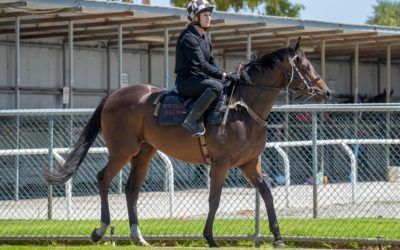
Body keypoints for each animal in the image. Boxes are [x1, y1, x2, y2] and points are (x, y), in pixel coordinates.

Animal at [43, 38, 332, 247]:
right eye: (306, 67)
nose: (326, 92)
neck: (243, 107)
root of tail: (114, 96)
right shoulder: (221, 164)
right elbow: (214, 199)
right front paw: (210, 237)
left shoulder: (250, 163)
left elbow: (267, 194)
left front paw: (278, 237)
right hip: (122, 150)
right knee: (104, 178)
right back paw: (101, 230)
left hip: (145, 152)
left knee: (131, 189)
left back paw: (138, 236)